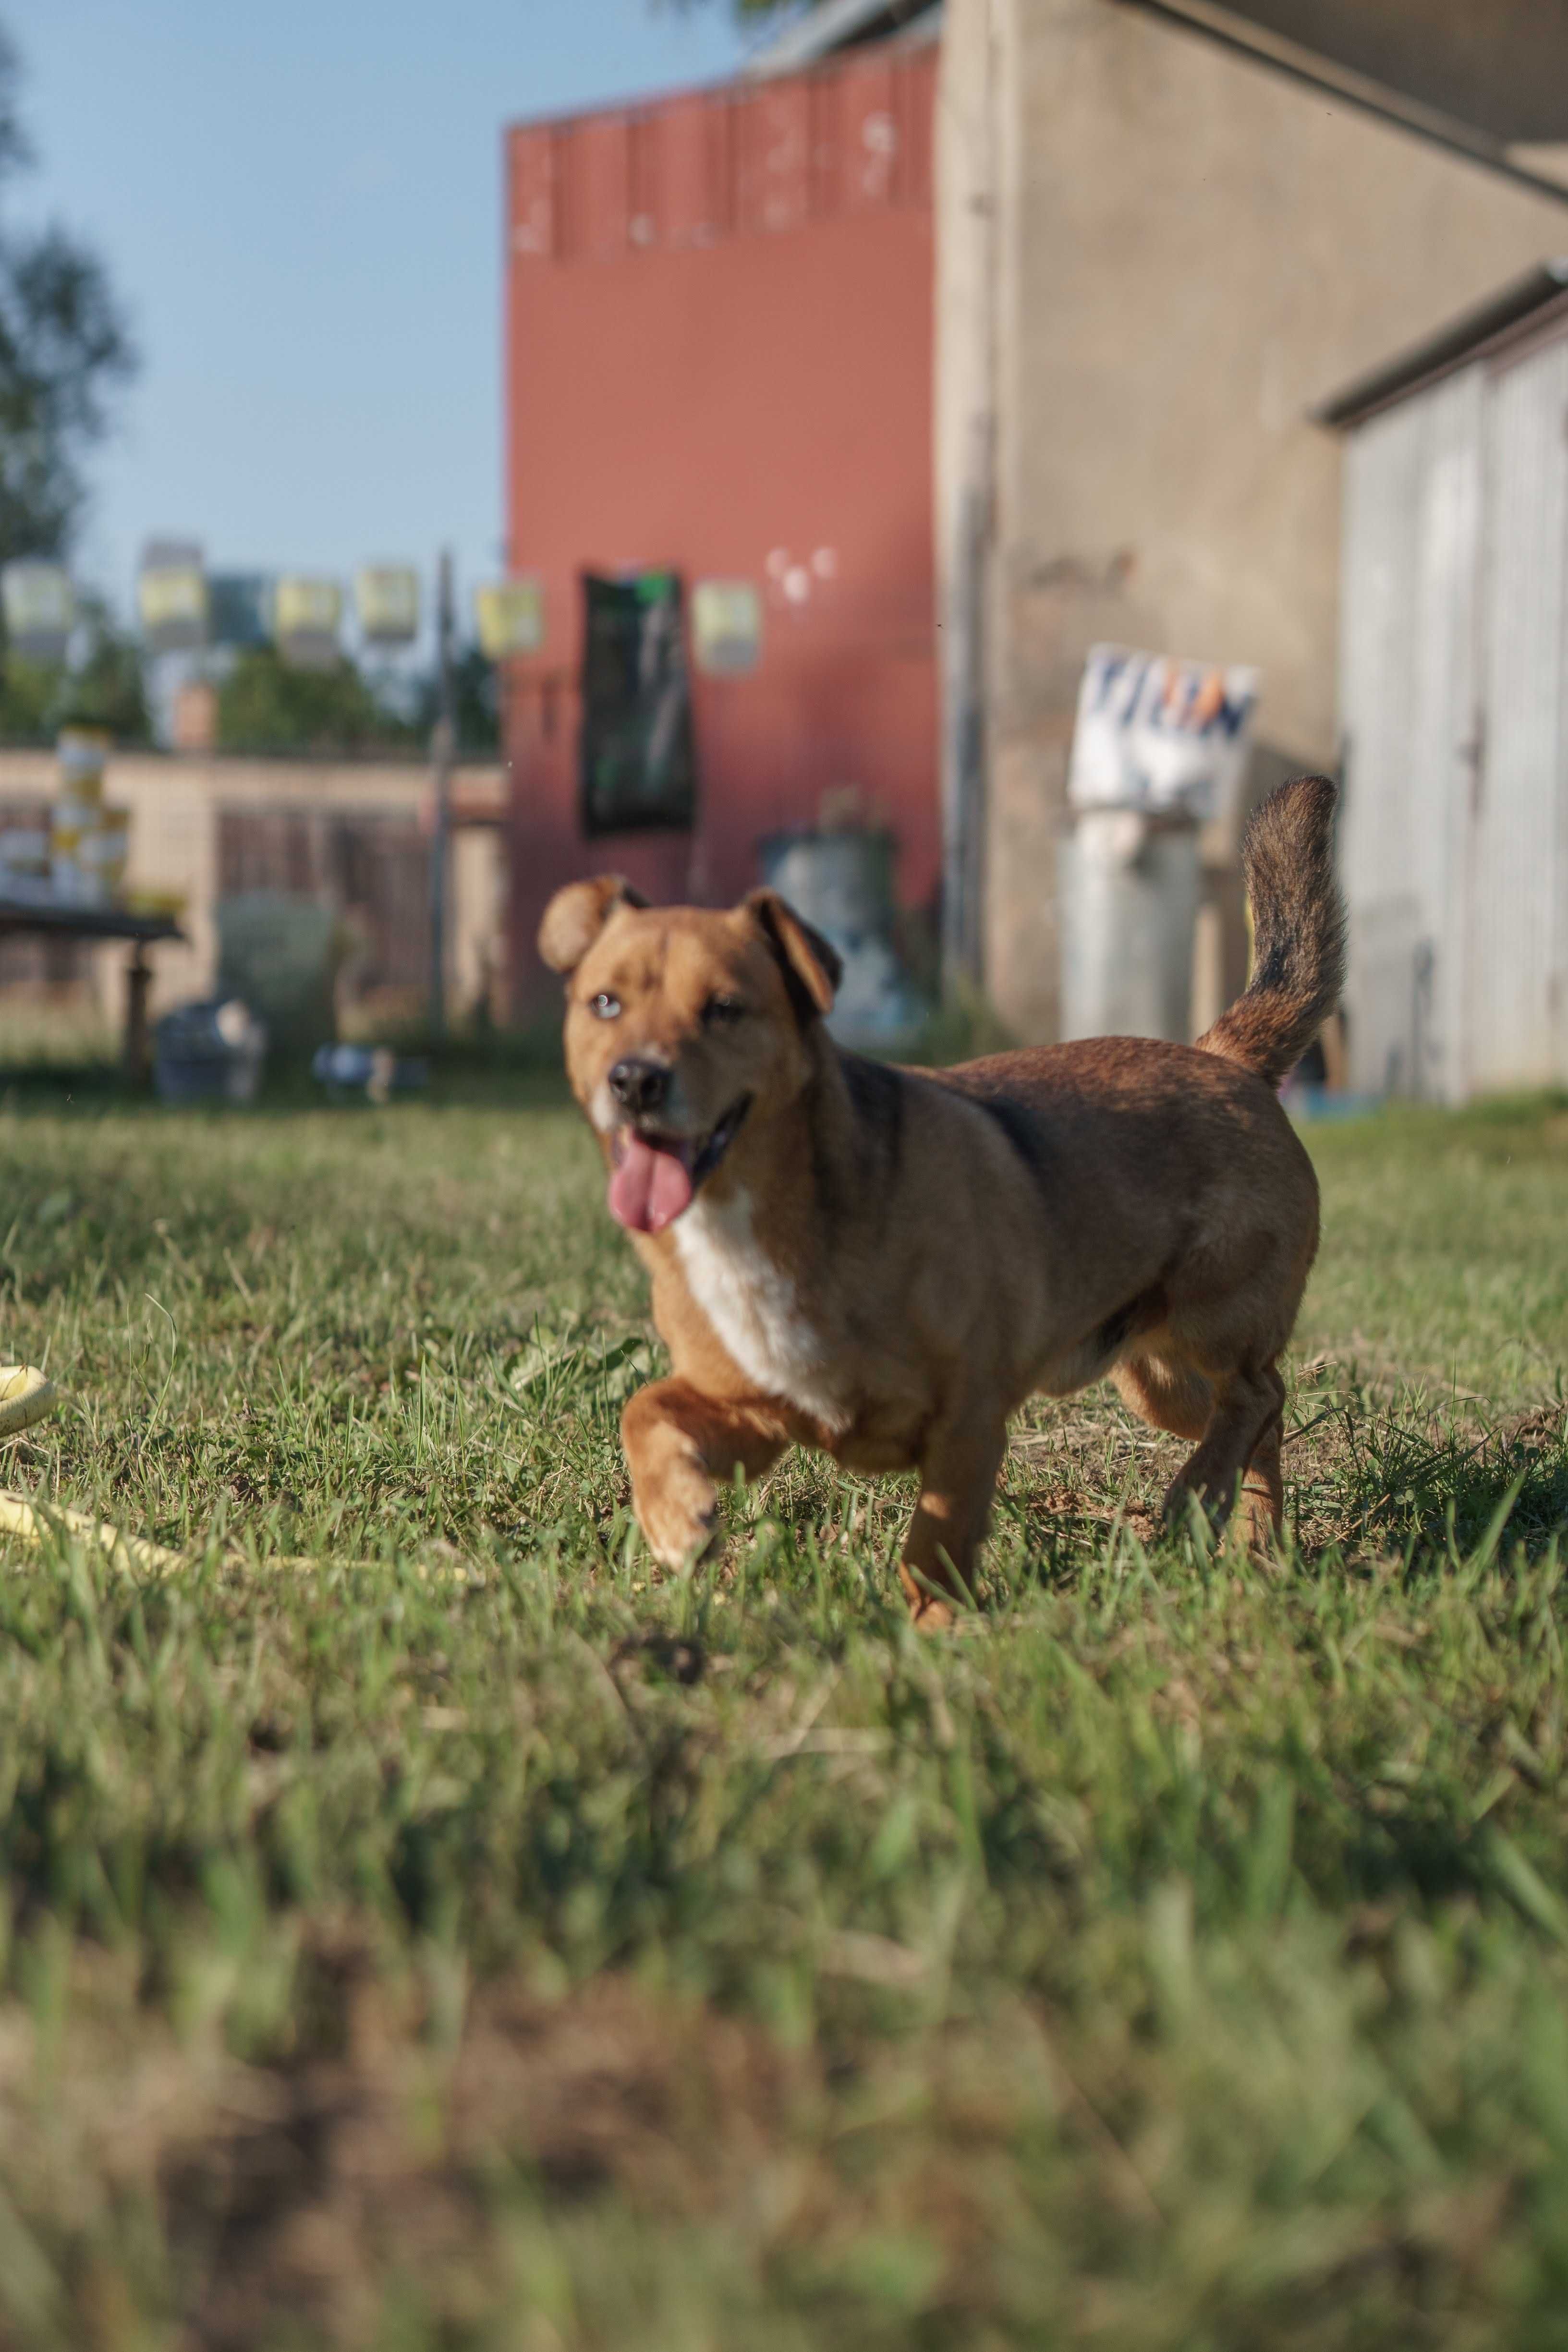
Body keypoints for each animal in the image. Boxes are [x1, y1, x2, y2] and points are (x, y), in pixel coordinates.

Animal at [543, 771, 1354, 1618]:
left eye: (724, 1008)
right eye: (604, 1003)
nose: (635, 1081)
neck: (756, 1221)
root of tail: (1224, 1055)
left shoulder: (968, 1422)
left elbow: (933, 1547)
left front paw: (937, 1631)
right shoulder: (755, 1410)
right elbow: (644, 1408)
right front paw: (676, 1519)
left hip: (1212, 1318)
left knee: (1258, 1393)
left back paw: (1198, 1496)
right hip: (1150, 1377)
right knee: (1264, 1415)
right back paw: (1255, 1543)